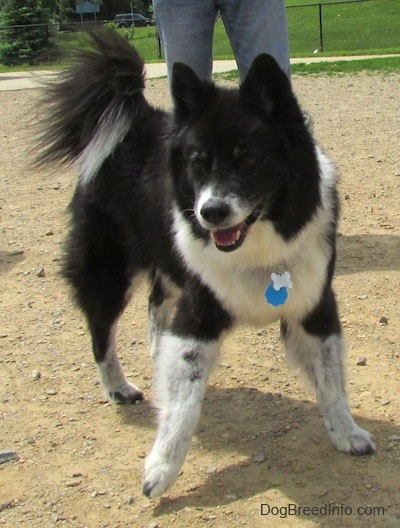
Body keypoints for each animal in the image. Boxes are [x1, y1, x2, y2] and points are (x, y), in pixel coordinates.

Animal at [37, 29, 376, 500]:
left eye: (248, 158)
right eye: (198, 162)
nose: (210, 212)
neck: (257, 248)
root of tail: (135, 121)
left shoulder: (314, 306)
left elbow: (332, 379)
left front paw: (346, 431)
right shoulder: (198, 314)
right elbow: (184, 404)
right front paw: (162, 468)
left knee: (155, 313)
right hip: (108, 271)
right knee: (101, 335)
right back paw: (118, 388)